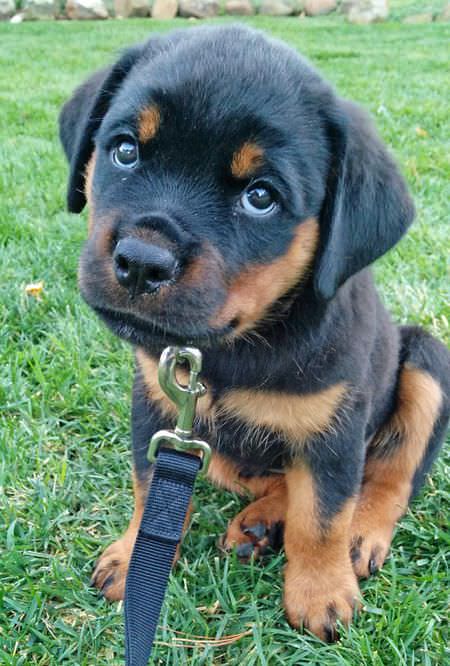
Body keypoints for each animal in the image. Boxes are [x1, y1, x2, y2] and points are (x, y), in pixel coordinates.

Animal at [59, 24, 450, 640]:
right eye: (124, 150)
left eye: (261, 196)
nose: (141, 263)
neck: (230, 349)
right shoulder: (158, 405)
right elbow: (149, 489)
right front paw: (132, 556)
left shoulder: (336, 427)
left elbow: (325, 515)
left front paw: (322, 593)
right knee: (271, 478)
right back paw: (260, 522)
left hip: (429, 362)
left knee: (390, 474)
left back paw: (359, 534)